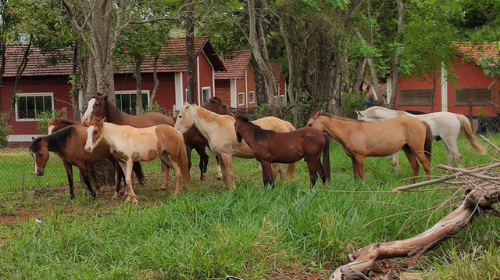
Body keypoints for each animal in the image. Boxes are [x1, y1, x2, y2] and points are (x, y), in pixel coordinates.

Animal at [358, 105, 486, 167]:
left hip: (449, 141)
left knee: (457, 156)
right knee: (451, 157)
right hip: (446, 141)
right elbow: (392, 160)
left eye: (359, 120)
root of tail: (455, 115)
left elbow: (394, 161)